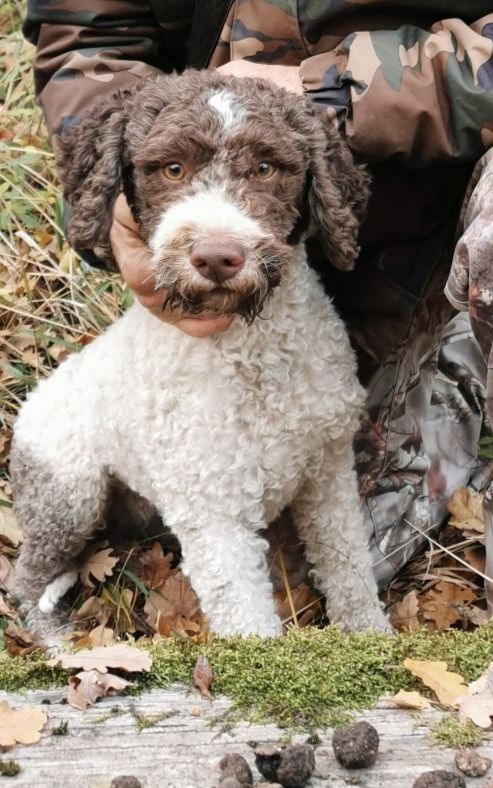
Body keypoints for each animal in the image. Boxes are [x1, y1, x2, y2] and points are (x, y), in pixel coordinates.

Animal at [10, 71, 388, 640]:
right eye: (172, 168)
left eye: (264, 167)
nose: (216, 256)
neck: (253, 361)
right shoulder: (214, 513)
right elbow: (248, 623)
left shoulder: (327, 472)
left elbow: (349, 569)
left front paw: (373, 637)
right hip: (67, 491)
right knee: (26, 578)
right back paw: (58, 640)